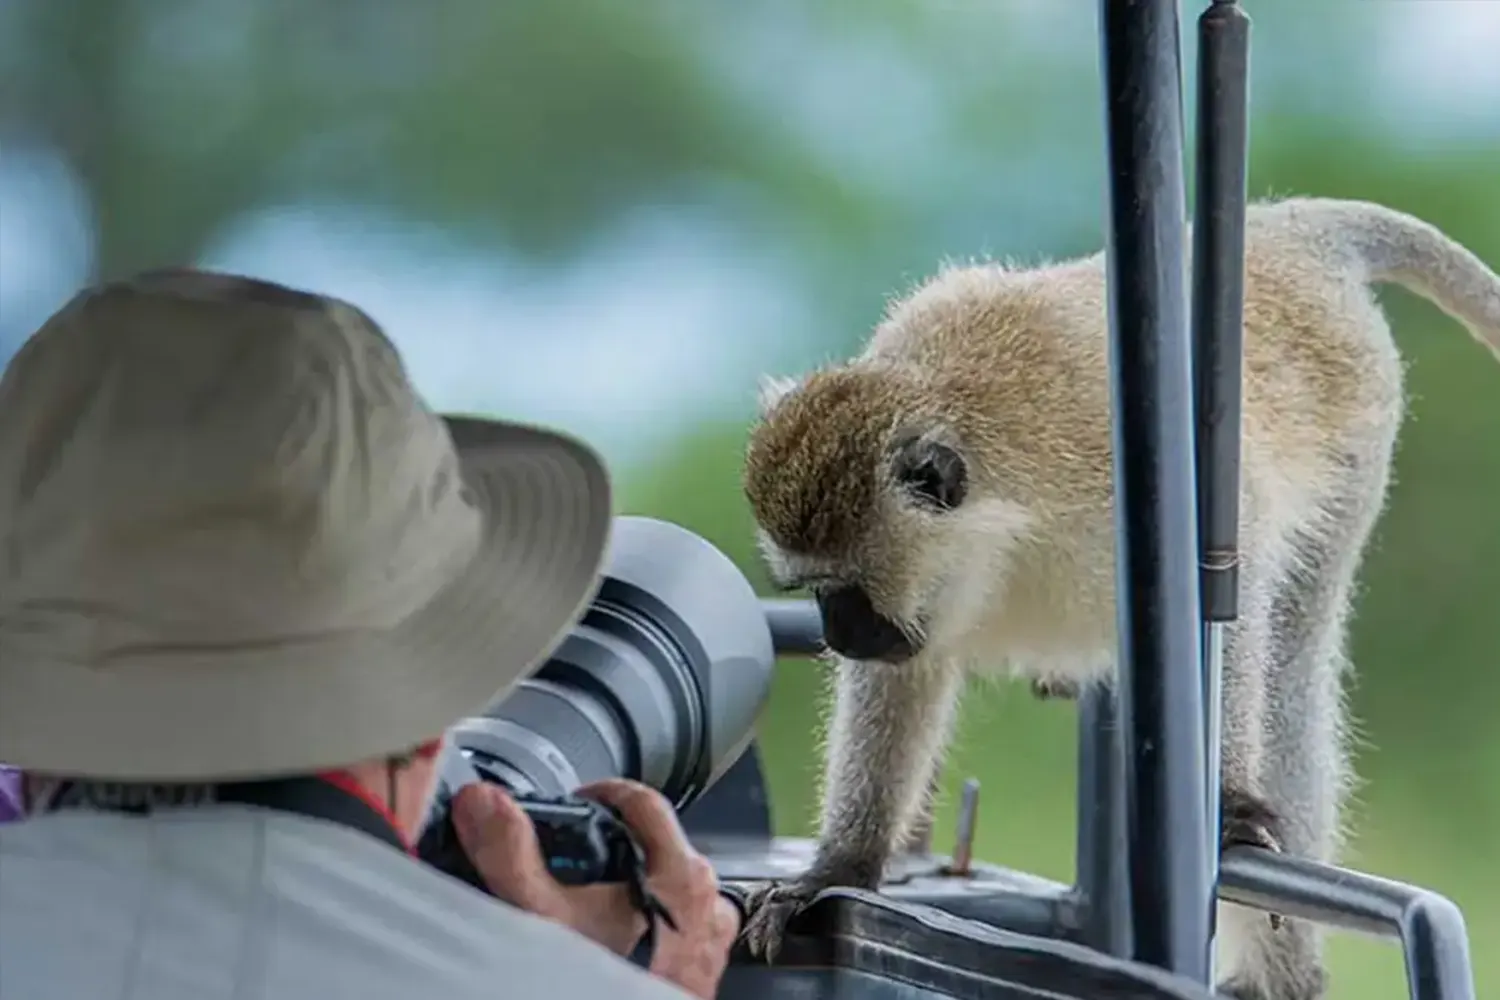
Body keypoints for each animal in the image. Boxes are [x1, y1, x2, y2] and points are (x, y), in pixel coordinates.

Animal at [741, 197, 1500, 1000]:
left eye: (845, 593)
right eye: (813, 592)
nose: (840, 635)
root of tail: (1286, 232)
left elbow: (1231, 591)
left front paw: (1231, 802)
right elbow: (902, 679)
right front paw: (840, 866)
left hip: (1358, 438)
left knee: (1292, 659)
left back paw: (1278, 975)